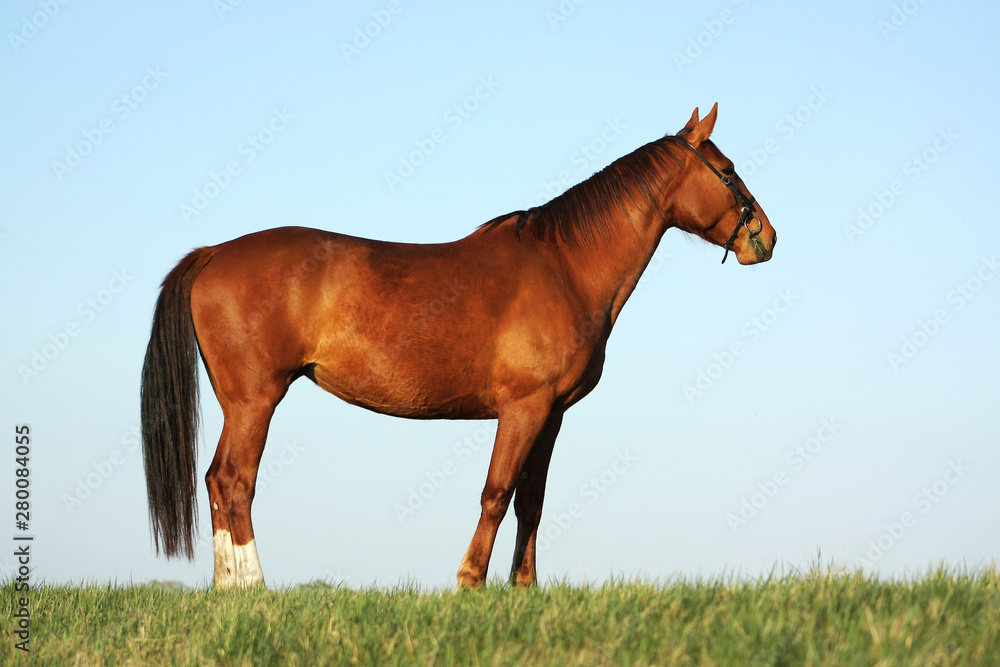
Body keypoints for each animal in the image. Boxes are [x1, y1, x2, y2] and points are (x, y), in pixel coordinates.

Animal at [141, 103, 776, 588]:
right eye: (727, 170)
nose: (765, 237)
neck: (564, 266)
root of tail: (213, 255)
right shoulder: (522, 407)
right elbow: (496, 492)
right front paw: (471, 581)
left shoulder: (551, 415)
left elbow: (531, 500)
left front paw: (524, 588)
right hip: (255, 401)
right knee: (234, 481)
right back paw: (253, 587)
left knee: (216, 483)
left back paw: (228, 588)